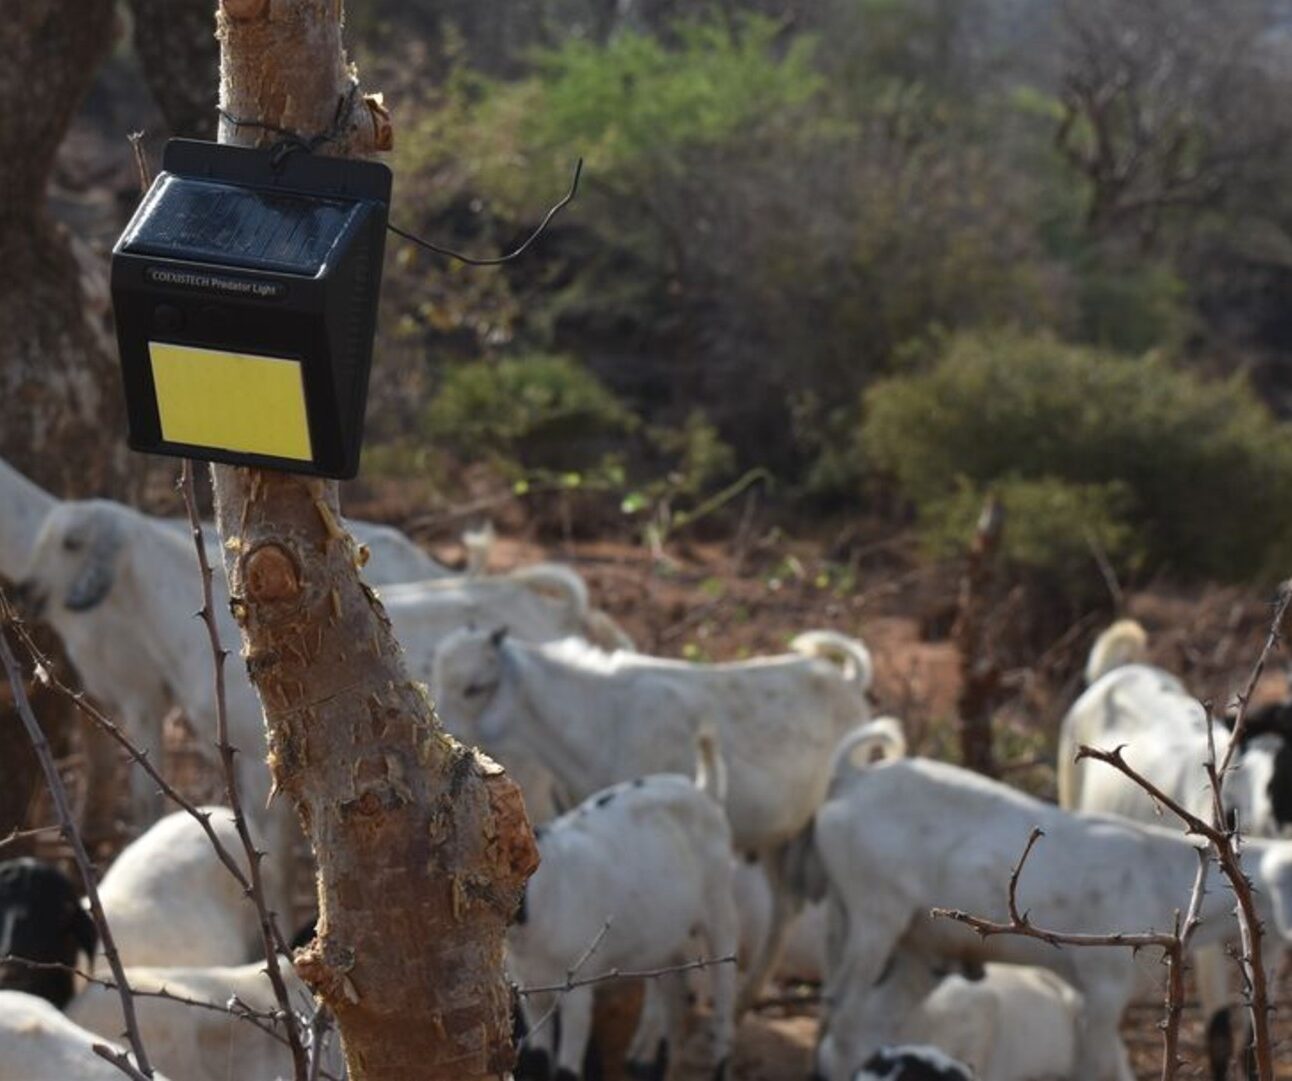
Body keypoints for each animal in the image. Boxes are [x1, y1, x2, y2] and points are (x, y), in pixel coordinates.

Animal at [808, 755, 1292, 1081]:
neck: (1158, 874)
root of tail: (851, 781)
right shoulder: (1102, 990)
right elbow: (1094, 1068)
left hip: (920, 950)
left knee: (872, 1020)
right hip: (874, 916)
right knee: (845, 1013)